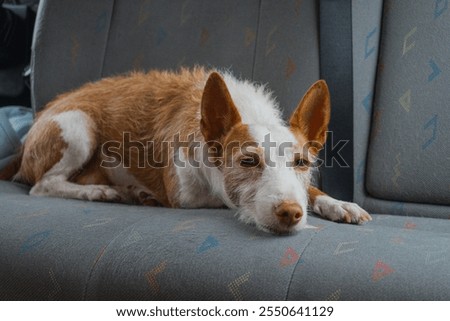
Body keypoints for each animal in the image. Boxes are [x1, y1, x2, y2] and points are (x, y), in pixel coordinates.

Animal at [0, 67, 370, 232]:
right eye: (248, 161)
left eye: (302, 162)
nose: (290, 213)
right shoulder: (185, 197)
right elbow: (218, 198)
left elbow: (310, 190)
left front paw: (339, 204)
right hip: (78, 126)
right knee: (42, 185)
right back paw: (102, 191)